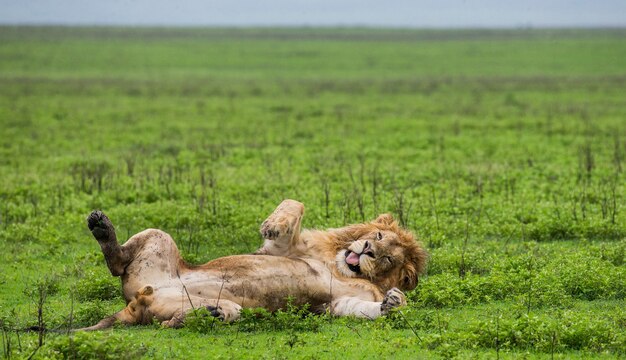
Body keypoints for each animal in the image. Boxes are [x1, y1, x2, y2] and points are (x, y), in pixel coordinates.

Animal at [80, 201, 426, 330]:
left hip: (211, 307)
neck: (338, 264)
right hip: (158, 237)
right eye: (377, 236)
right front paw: (273, 224)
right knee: (117, 263)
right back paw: (101, 227)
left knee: (167, 323)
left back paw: (209, 314)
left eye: (388, 258)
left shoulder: (336, 305)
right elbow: (295, 205)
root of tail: (137, 301)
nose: (367, 250)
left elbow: (362, 308)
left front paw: (393, 302)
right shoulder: (281, 249)